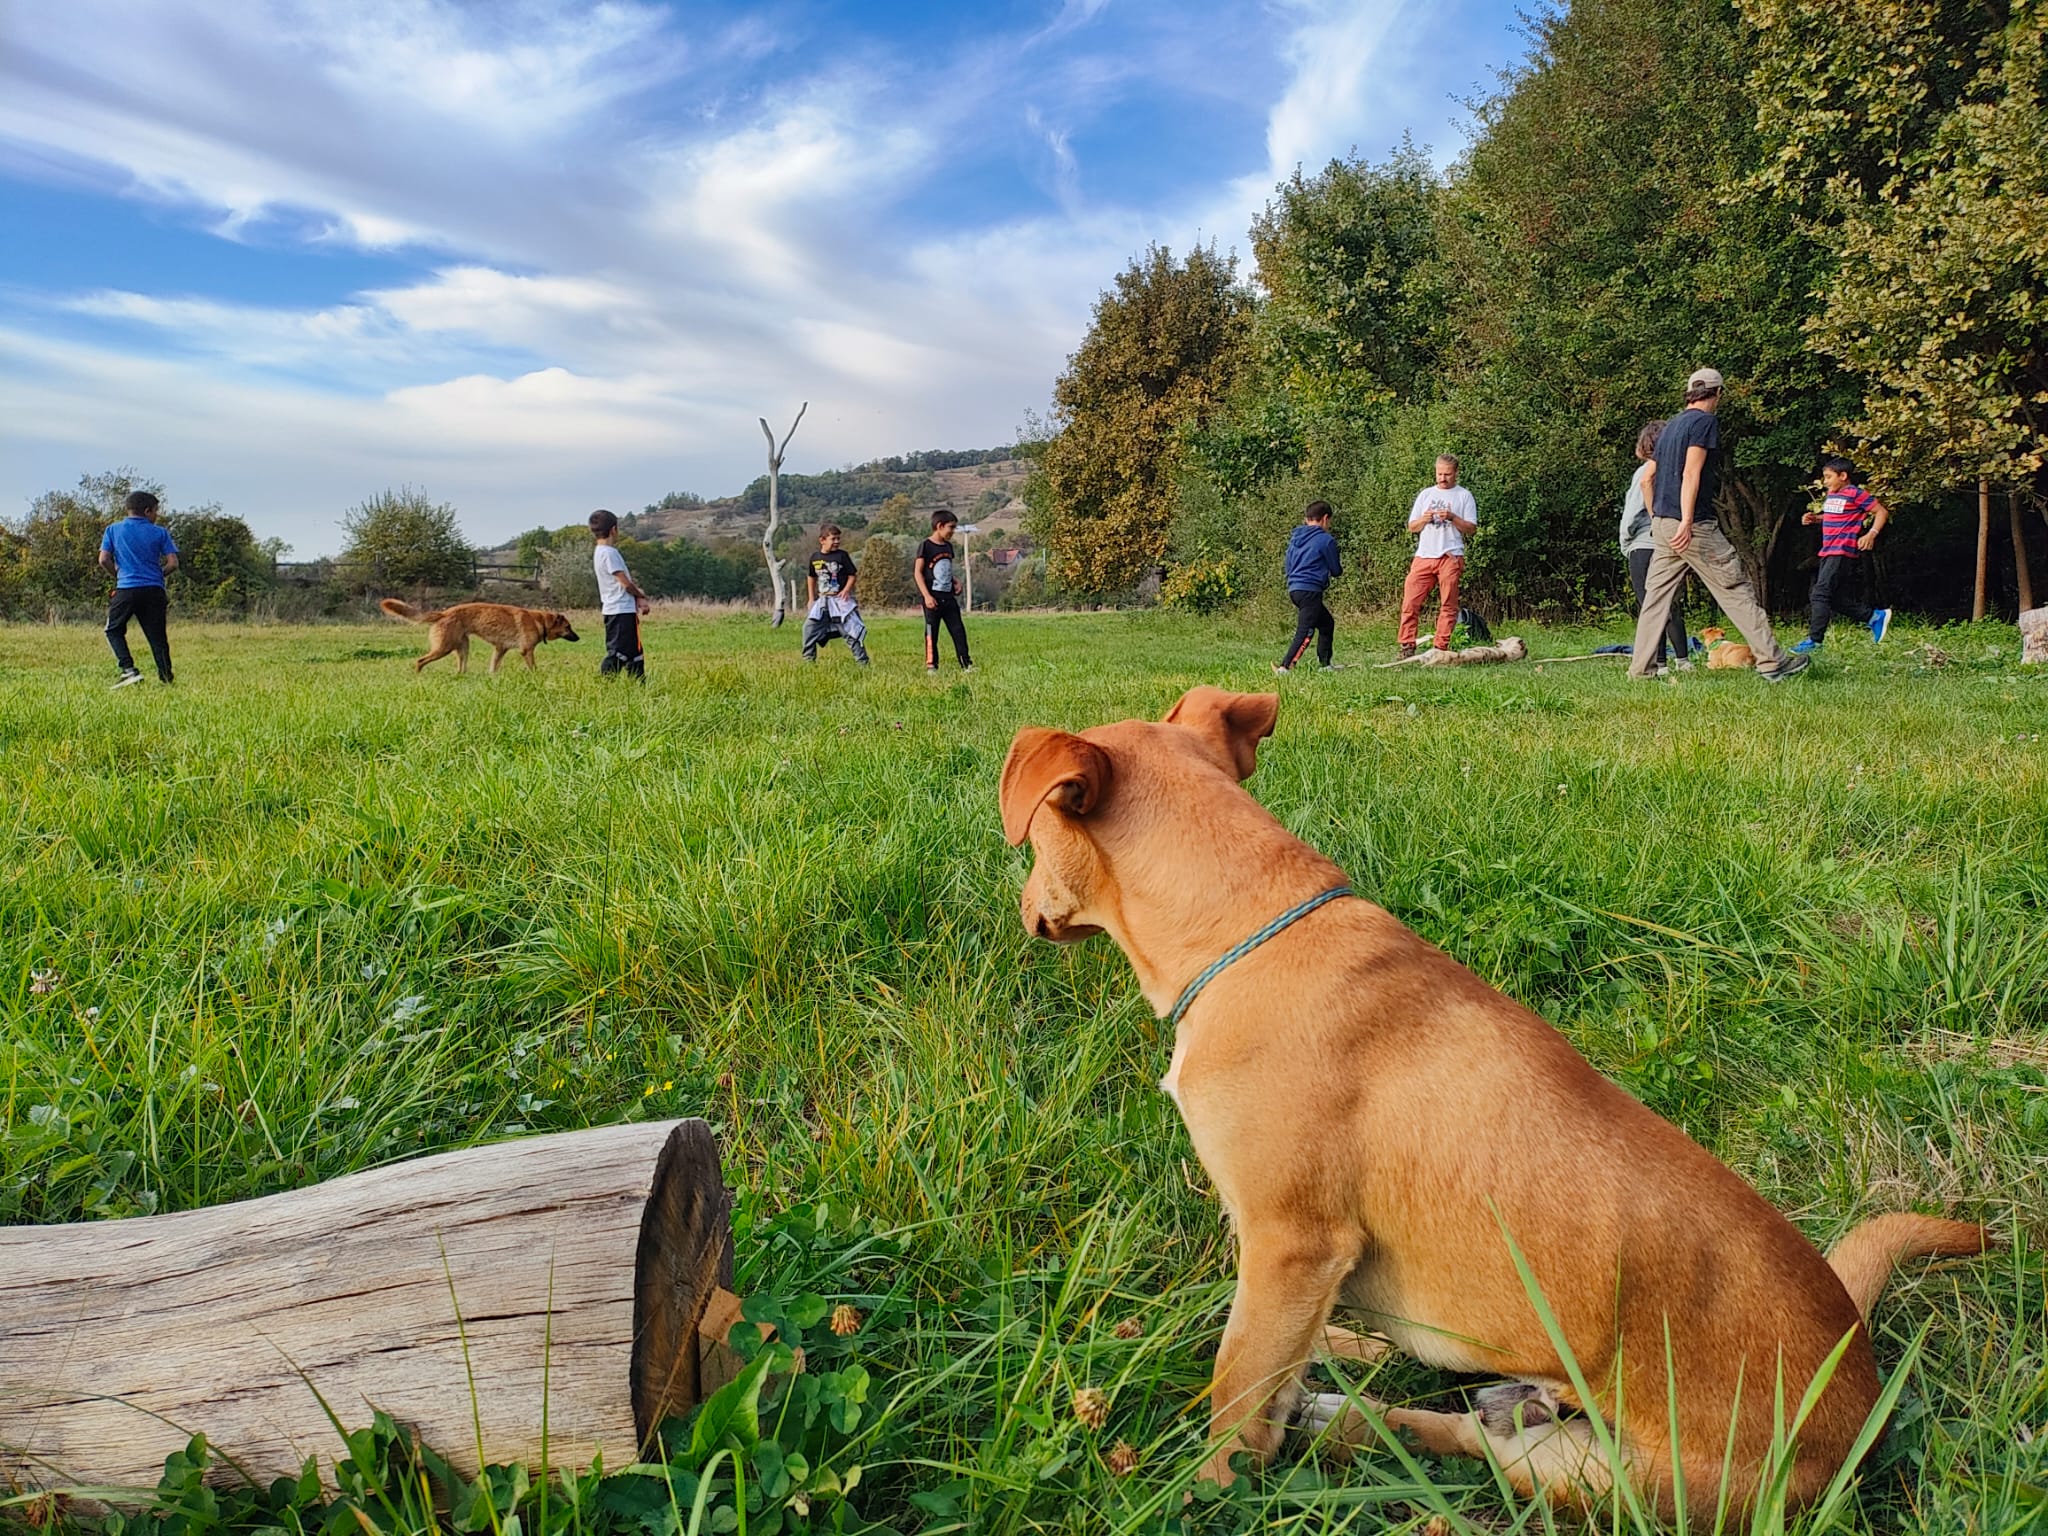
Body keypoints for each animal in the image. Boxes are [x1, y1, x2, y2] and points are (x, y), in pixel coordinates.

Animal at [380, 598, 577, 675]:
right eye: (568, 627)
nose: (579, 638)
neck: (541, 621)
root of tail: (443, 614)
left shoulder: (500, 649)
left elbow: (493, 667)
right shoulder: (527, 651)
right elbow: (533, 668)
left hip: (463, 649)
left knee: (461, 668)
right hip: (443, 648)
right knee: (420, 661)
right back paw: (418, 675)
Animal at [999, 692, 1990, 1523]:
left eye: (1037, 832)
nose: (1020, 904)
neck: (1252, 930)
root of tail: (1860, 1382)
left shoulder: (1292, 1241)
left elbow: (1236, 1393)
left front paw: (1203, 1495)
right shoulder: (1289, 1264)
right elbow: (1260, 1365)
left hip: (1602, 1477)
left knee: (1463, 1444)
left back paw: (1344, 1417)